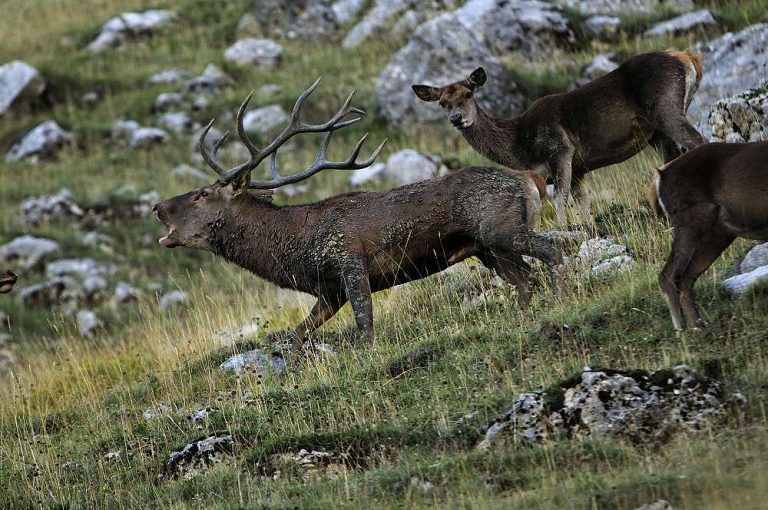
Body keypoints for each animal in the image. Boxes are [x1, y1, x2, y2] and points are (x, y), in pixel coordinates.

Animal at [153, 80, 564, 355]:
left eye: (202, 194)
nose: (158, 207)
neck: (297, 248)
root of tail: (531, 179)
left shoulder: (350, 262)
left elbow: (365, 326)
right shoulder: (328, 290)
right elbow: (297, 334)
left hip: (501, 229)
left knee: (551, 251)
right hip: (487, 249)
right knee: (526, 280)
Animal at [412, 49, 706, 225]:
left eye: (468, 94)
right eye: (442, 103)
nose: (456, 119)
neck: (520, 146)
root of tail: (687, 57)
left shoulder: (559, 149)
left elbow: (559, 200)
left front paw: (565, 233)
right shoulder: (579, 168)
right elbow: (584, 203)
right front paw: (587, 231)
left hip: (663, 106)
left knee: (697, 141)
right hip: (657, 133)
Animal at [649, 141, 768, 332]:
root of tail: (658, 178)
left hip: (717, 233)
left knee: (686, 276)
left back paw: (699, 325)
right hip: (692, 218)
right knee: (668, 275)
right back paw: (683, 331)